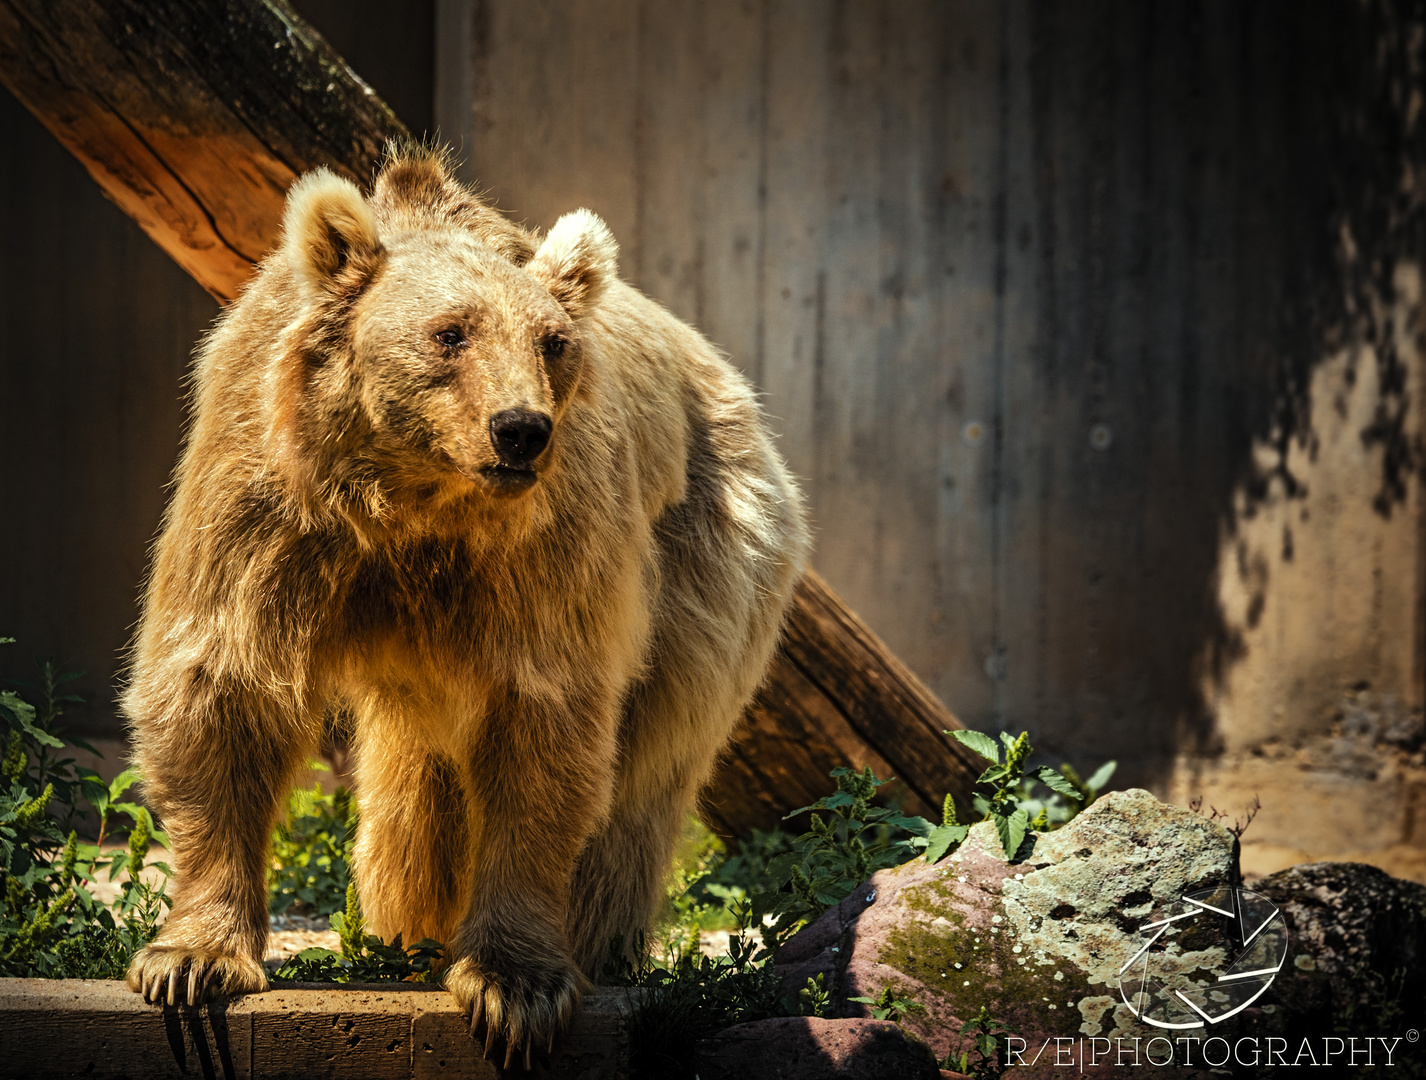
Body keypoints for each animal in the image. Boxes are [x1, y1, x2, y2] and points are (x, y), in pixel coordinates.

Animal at [124, 143, 809, 1061]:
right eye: (450, 331)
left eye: (553, 342)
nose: (519, 429)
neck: (413, 503)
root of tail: (726, 378)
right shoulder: (268, 512)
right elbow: (220, 692)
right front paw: (192, 962)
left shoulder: (546, 555)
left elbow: (544, 733)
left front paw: (515, 986)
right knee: (421, 787)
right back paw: (410, 928)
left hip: (709, 552)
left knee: (648, 764)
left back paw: (598, 941)